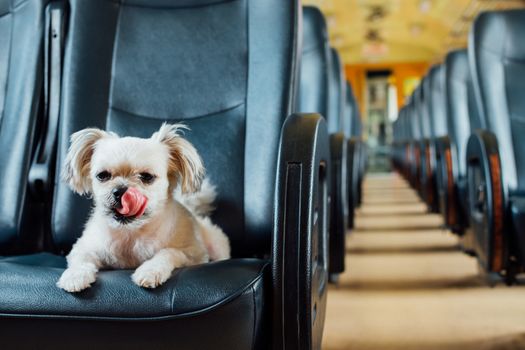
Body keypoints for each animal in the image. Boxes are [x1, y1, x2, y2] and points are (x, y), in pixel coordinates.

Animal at [55, 123, 229, 292]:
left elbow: (168, 252)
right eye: (102, 175)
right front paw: (74, 276)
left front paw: (150, 271)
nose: (120, 191)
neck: (131, 233)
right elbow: (81, 260)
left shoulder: (193, 254)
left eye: (146, 177)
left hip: (217, 246)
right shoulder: (83, 248)